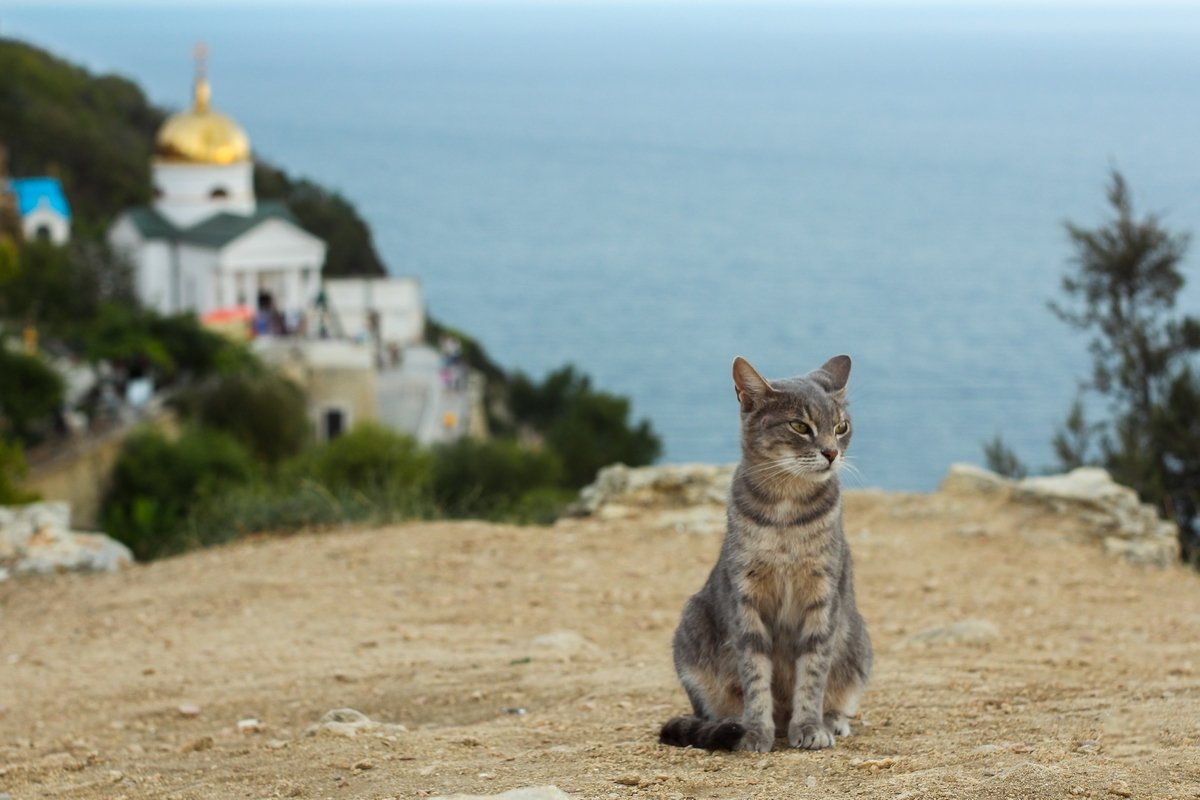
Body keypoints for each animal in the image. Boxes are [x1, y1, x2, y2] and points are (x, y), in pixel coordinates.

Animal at [667, 355, 873, 753]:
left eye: (841, 427)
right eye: (800, 426)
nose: (831, 452)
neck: (786, 511)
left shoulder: (823, 597)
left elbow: (812, 673)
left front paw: (809, 726)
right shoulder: (746, 600)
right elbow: (755, 674)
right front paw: (755, 730)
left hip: (858, 641)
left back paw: (831, 720)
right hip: (692, 628)